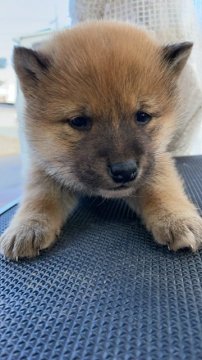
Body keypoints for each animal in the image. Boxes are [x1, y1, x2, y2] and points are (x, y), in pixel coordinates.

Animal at [0, 20, 201, 258]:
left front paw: (177, 219)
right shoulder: (44, 167)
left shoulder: (157, 160)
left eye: (142, 116)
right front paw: (28, 226)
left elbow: (162, 188)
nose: (124, 171)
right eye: (78, 121)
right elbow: (39, 196)